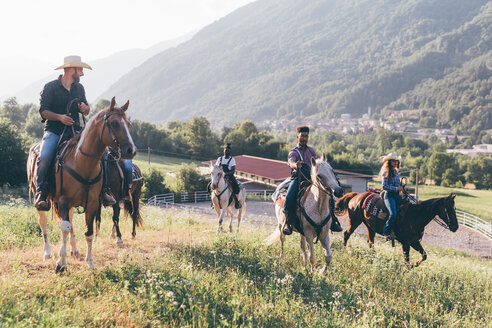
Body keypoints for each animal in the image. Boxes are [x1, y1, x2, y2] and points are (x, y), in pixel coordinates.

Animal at [27, 96, 136, 272]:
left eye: (128, 124)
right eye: (114, 123)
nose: (130, 150)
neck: (82, 162)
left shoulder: (92, 204)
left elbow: (88, 232)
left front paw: (90, 262)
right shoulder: (64, 201)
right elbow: (64, 228)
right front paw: (61, 263)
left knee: (71, 221)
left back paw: (75, 250)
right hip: (40, 197)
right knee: (43, 222)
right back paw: (48, 253)